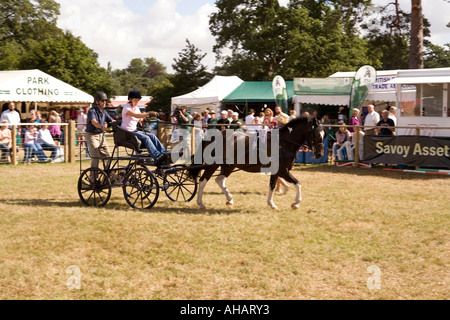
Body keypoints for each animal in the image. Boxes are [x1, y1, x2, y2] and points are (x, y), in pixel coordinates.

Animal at [188, 116, 326, 211]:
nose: (319, 154)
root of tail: (212, 136)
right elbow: (297, 183)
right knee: (203, 180)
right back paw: (201, 203)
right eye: (317, 135)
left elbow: (272, 185)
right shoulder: (283, 170)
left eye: (323, 134)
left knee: (220, 180)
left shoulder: (276, 171)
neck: (283, 143)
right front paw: (296, 203)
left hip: (229, 165)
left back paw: (229, 199)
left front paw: (271, 204)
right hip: (213, 164)